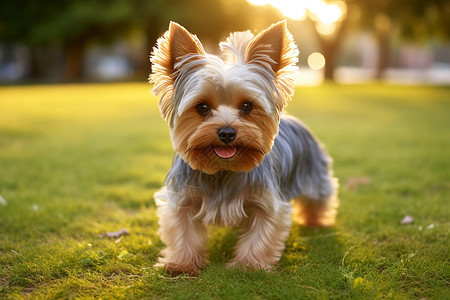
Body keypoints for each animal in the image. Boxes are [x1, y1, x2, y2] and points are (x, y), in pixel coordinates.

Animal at [150, 19, 338, 276]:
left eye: (247, 106)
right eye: (202, 107)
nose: (227, 132)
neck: (223, 169)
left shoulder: (267, 199)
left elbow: (263, 231)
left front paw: (249, 265)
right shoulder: (182, 196)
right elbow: (182, 230)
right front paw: (181, 263)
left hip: (313, 172)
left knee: (319, 197)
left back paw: (316, 221)